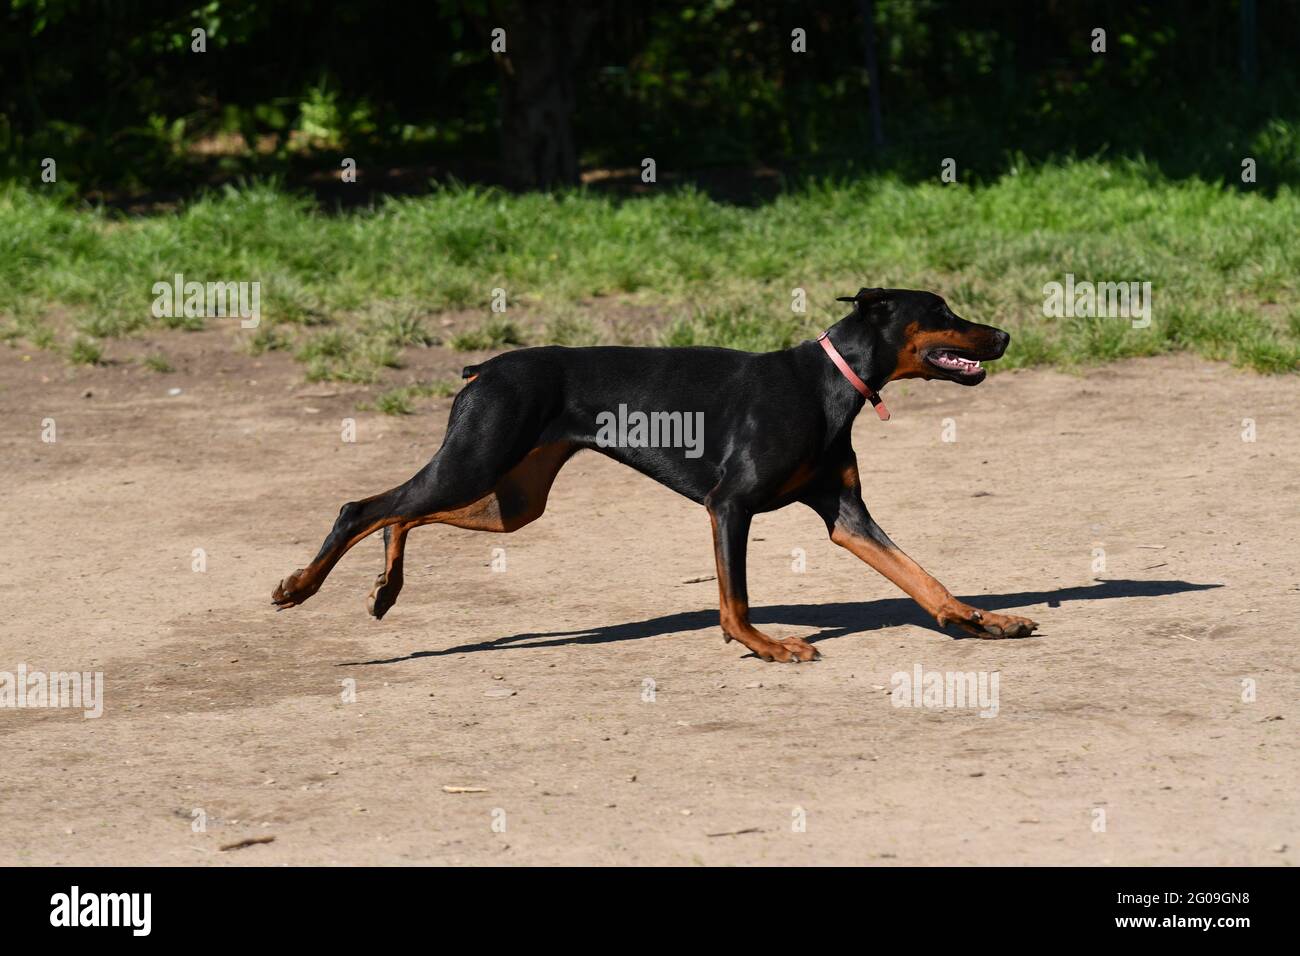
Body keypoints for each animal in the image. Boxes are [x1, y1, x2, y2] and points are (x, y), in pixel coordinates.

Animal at [271, 287, 1034, 660]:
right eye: (941, 311)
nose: (1003, 335)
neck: (827, 383)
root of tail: (485, 368)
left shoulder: (846, 517)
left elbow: (922, 577)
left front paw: (982, 619)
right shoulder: (731, 505)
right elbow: (736, 600)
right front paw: (762, 646)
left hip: (512, 500)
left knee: (398, 513)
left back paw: (386, 588)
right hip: (475, 462)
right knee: (364, 506)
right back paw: (300, 587)